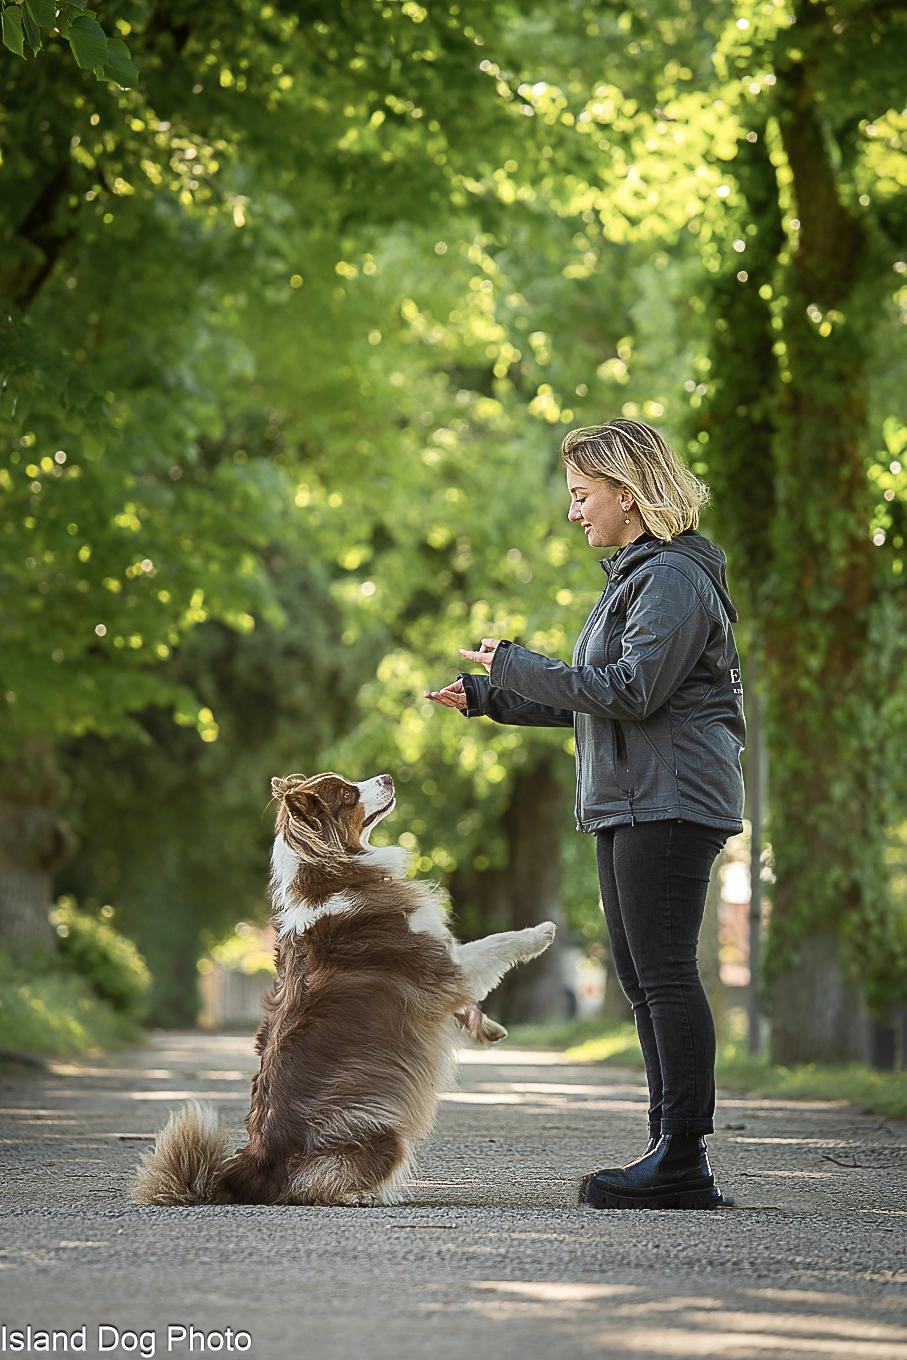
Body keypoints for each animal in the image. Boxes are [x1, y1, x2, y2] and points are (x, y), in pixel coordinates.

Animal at [134, 772, 557, 1207]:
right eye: (348, 794)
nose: (388, 776)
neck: (332, 878)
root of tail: (244, 1170)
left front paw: (487, 1027)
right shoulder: (441, 968)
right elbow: (494, 944)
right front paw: (541, 932)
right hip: (379, 1132)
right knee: (313, 1185)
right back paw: (359, 1195)